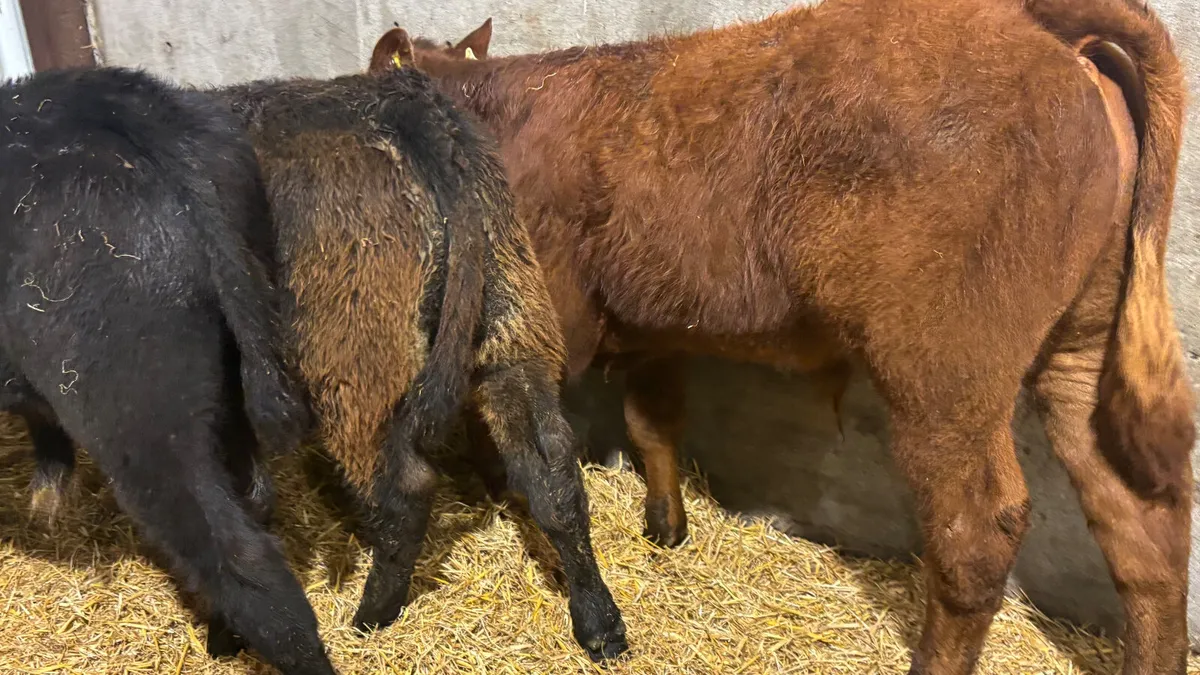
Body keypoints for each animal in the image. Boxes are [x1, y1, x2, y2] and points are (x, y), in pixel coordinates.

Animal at [368, 0, 1195, 672]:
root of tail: (1035, 25)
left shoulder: (537, 329)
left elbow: (529, 452)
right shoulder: (653, 327)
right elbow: (653, 423)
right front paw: (667, 528)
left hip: (944, 373)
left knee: (976, 531)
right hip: (1081, 348)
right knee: (1142, 523)